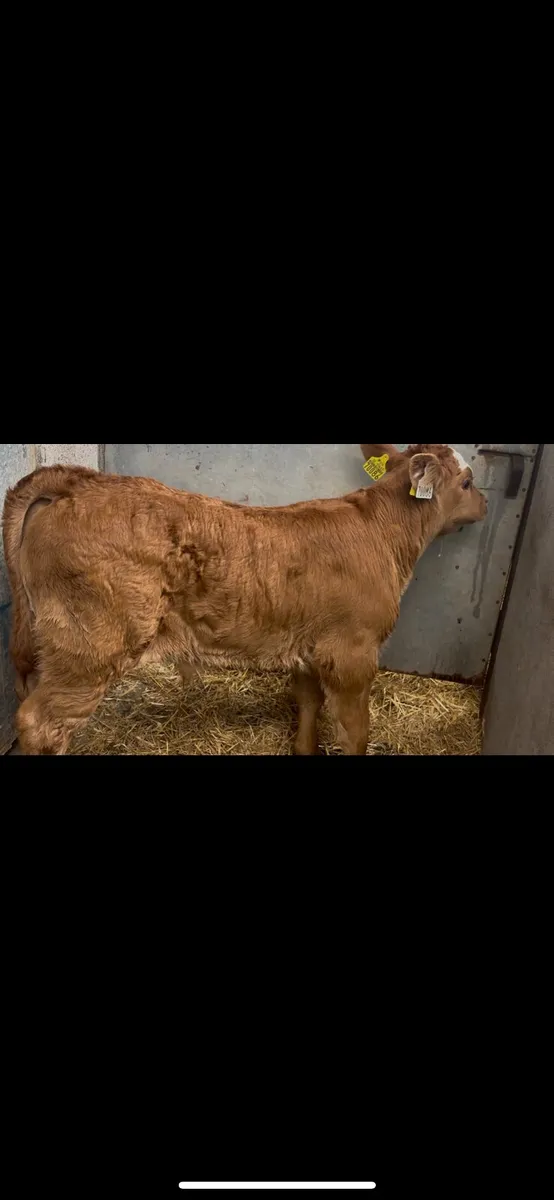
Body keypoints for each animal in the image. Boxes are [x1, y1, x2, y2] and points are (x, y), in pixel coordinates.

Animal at [2, 443, 487, 756]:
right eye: (467, 481)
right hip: (90, 647)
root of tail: (80, 484)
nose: (485, 503)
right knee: (38, 723)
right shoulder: (352, 654)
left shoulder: (308, 648)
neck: (380, 532)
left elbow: (307, 706)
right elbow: (354, 732)